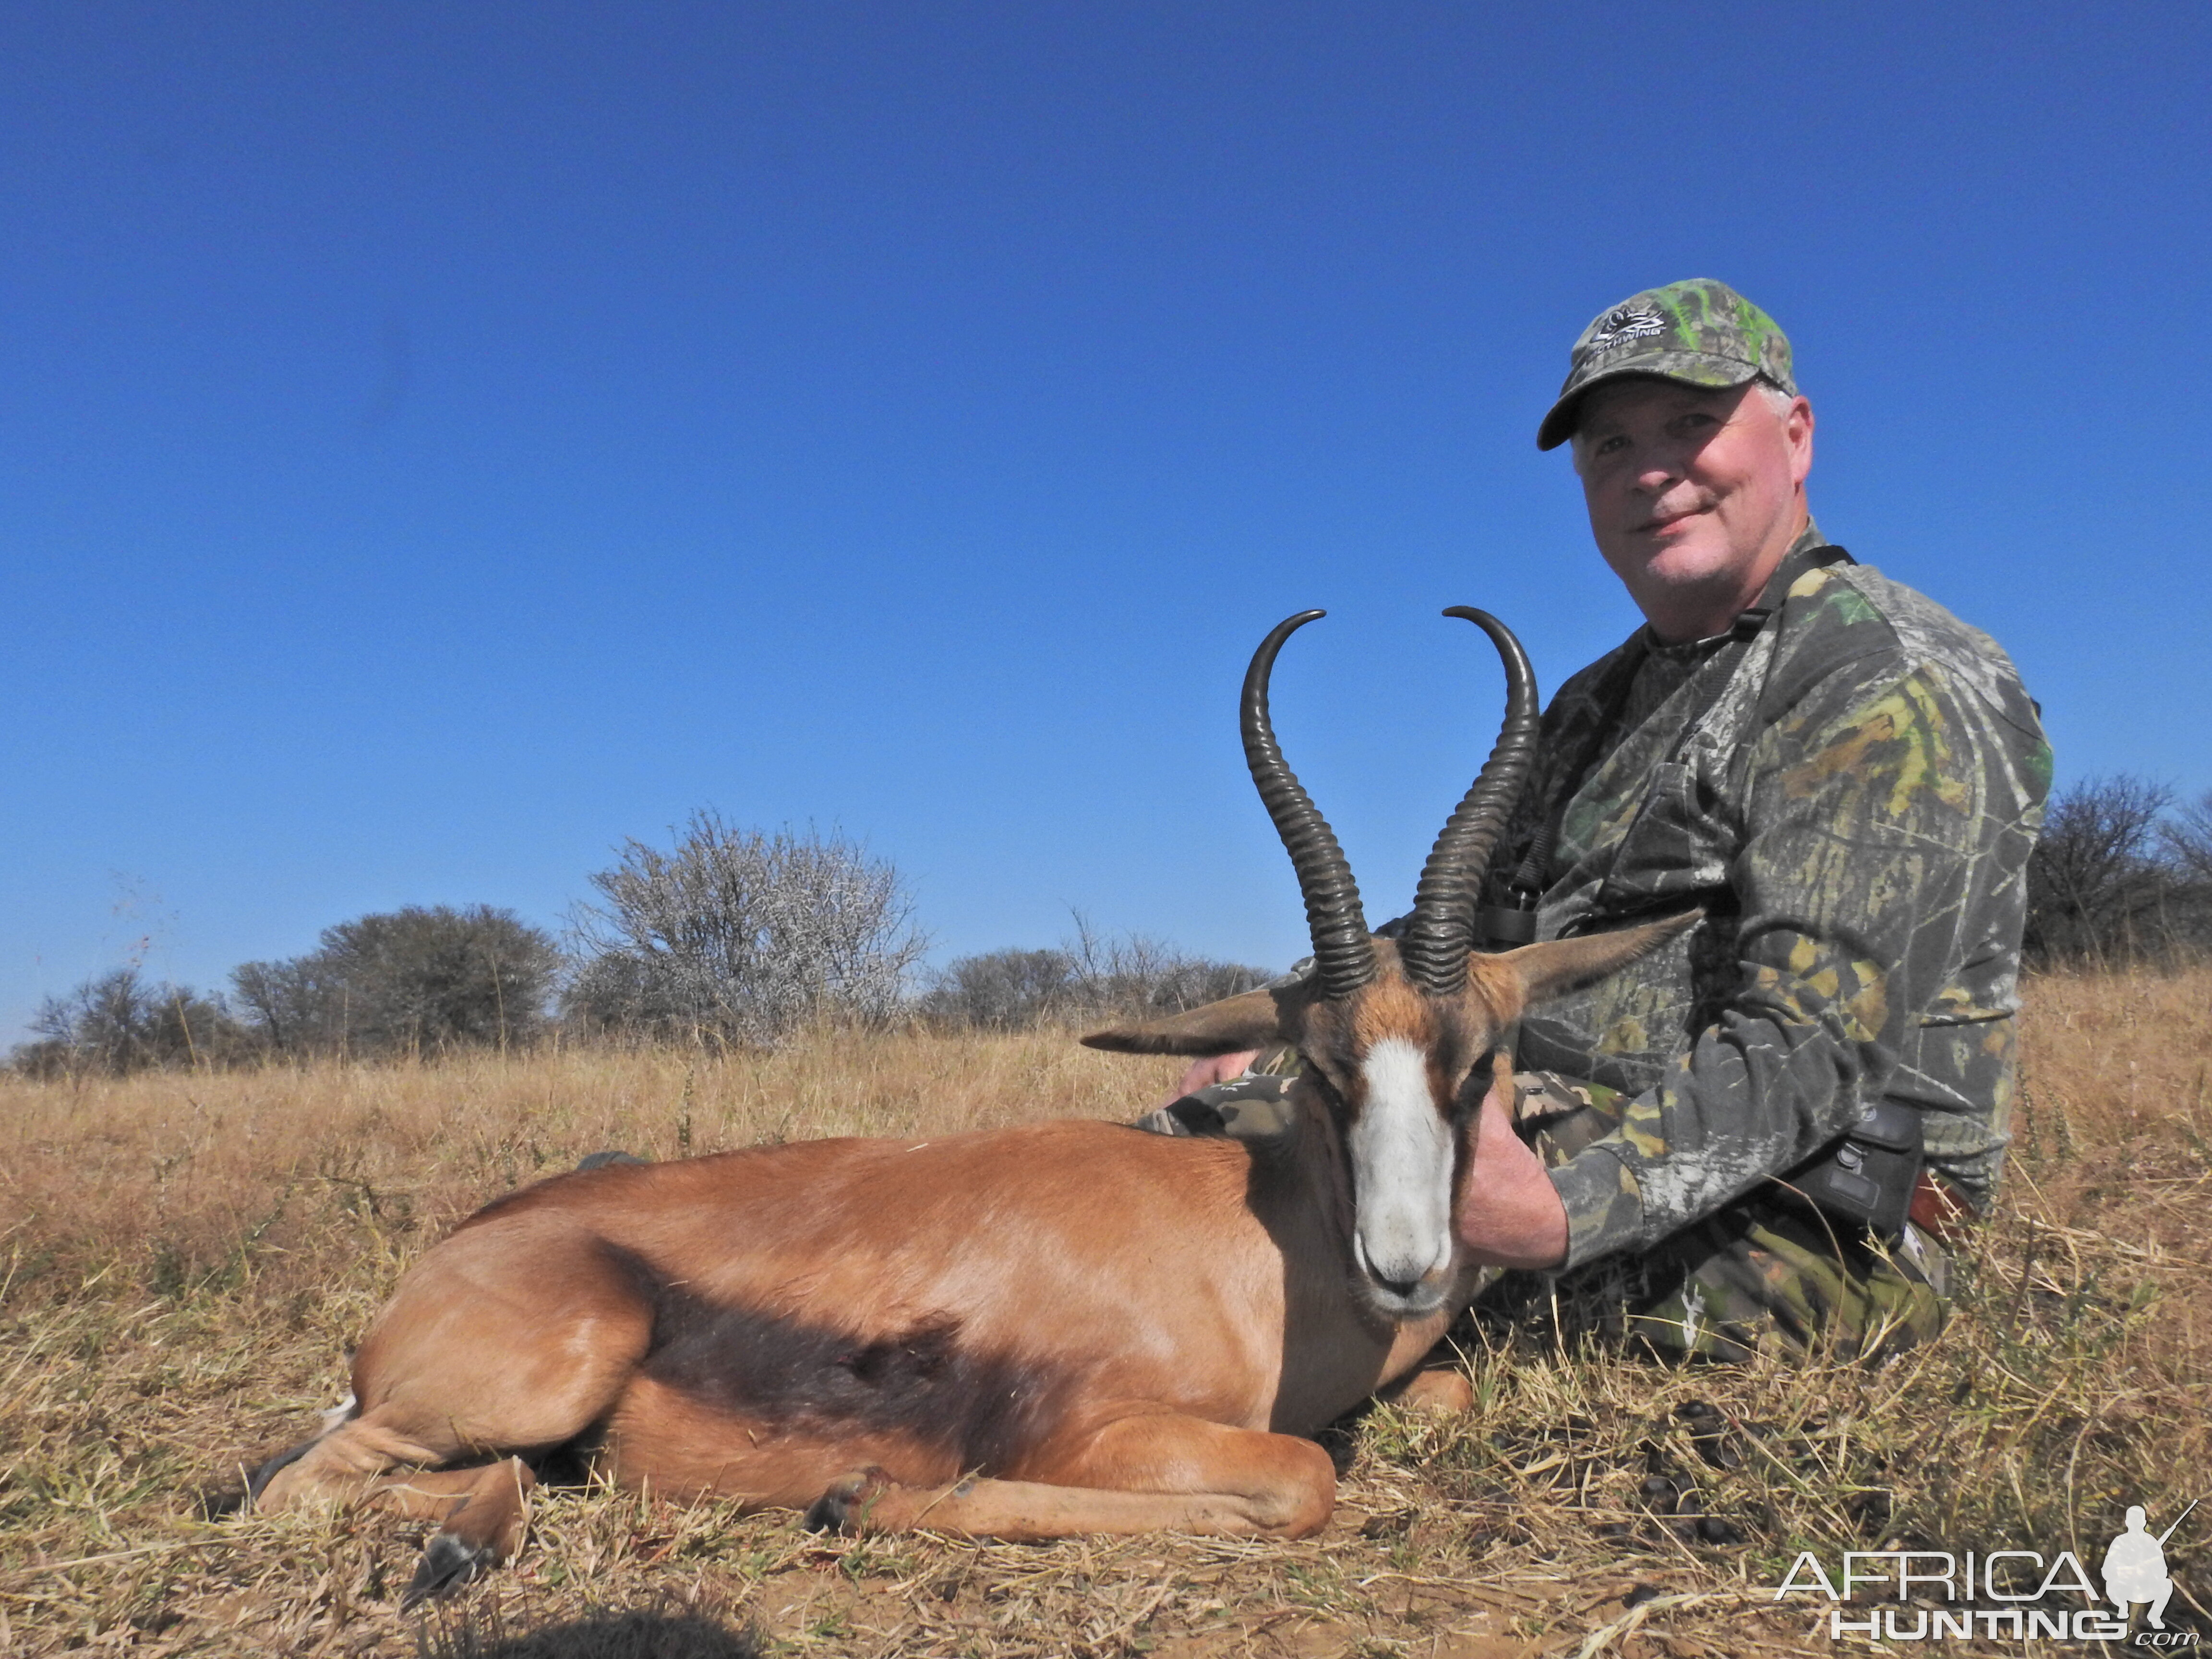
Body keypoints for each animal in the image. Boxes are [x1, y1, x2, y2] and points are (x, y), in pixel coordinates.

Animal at [242, 606, 1690, 1601]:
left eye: (1477, 1063)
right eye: (1324, 1067)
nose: (1404, 1268)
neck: (1256, 1251)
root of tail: (450, 1261)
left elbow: (1428, 1402)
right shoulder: (1099, 1431)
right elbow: (1302, 1476)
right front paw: (858, 1493)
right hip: (541, 1375)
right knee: (286, 1491)